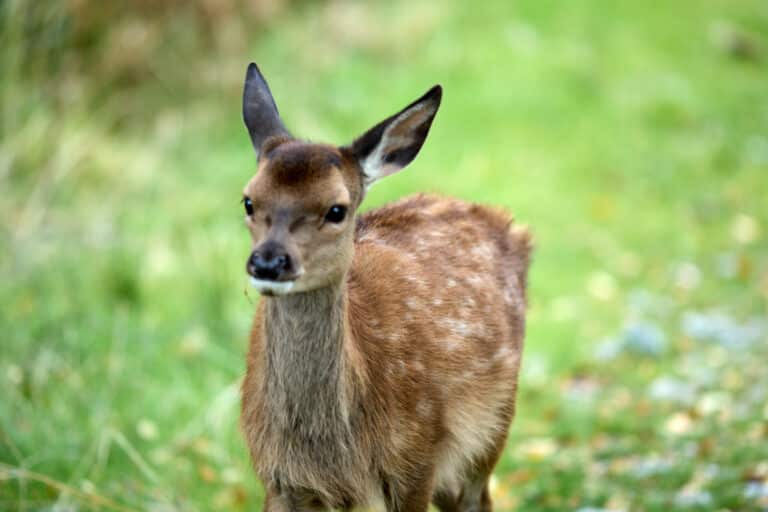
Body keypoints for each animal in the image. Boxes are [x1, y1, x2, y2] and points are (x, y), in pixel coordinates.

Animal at [239, 62, 532, 512]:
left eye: (336, 209)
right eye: (249, 201)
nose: (268, 261)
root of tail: (509, 225)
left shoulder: (416, 456)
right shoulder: (276, 475)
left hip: (489, 426)